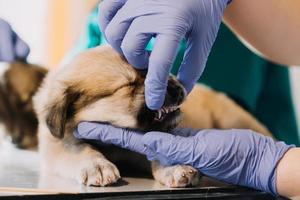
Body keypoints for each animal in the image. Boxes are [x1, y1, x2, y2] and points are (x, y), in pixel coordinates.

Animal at [33, 45, 272, 188]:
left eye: (156, 70)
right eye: (129, 84)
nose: (174, 85)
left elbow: (159, 151)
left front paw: (174, 168)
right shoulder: (57, 143)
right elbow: (79, 148)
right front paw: (96, 165)